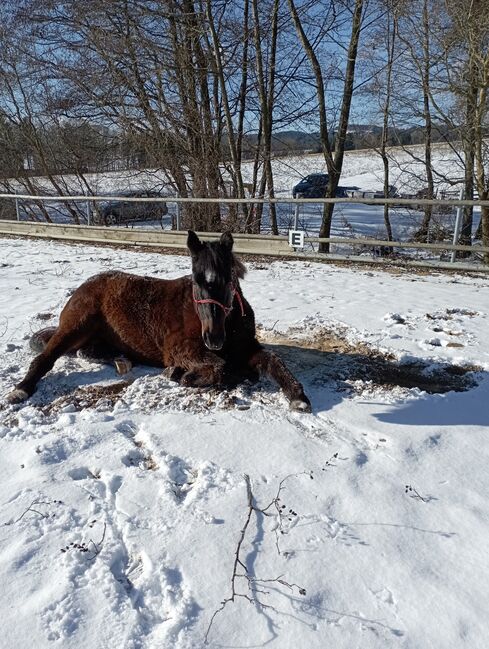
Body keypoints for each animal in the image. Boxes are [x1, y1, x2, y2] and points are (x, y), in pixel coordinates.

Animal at [5, 232, 310, 410]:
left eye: (229, 279)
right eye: (196, 280)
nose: (213, 339)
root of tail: (86, 285)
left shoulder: (246, 348)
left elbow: (272, 361)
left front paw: (298, 397)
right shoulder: (179, 348)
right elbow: (222, 367)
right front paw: (179, 374)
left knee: (87, 351)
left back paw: (122, 361)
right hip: (77, 325)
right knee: (47, 356)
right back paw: (20, 391)